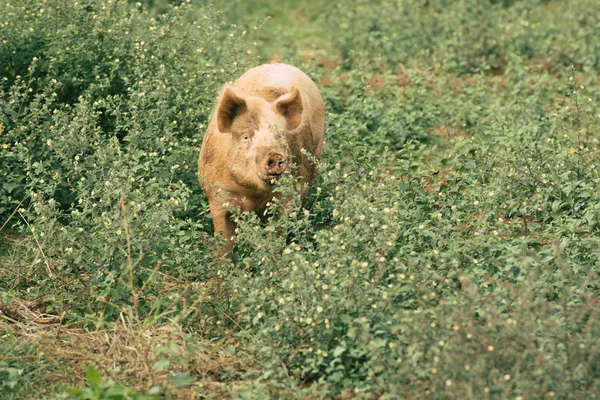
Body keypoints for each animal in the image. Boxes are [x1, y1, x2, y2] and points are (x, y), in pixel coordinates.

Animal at [198, 63, 324, 253]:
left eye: (279, 136)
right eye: (246, 137)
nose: (275, 155)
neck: (251, 194)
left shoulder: (286, 197)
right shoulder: (217, 195)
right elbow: (224, 242)